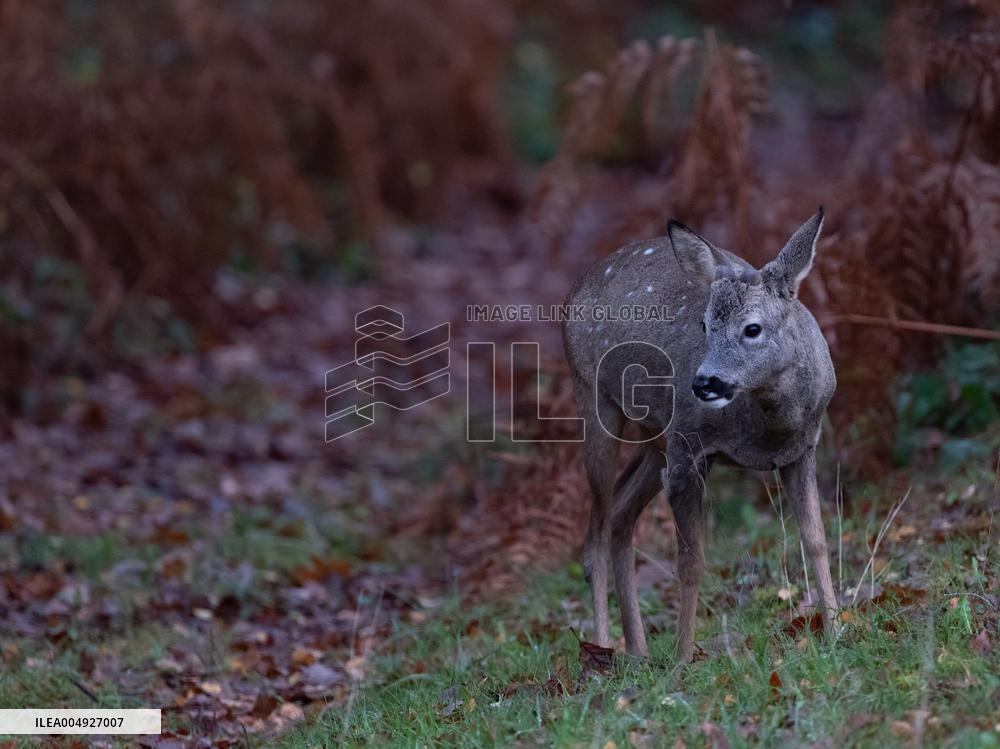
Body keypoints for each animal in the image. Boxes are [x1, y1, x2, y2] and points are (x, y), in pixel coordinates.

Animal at [561, 209, 837, 662]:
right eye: (705, 325)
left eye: (752, 328)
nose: (704, 382)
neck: (769, 429)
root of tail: (572, 292)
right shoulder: (689, 447)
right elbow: (691, 564)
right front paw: (683, 658)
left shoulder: (803, 448)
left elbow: (816, 539)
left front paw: (836, 632)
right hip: (594, 399)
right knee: (595, 535)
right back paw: (601, 650)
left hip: (656, 436)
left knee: (620, 513)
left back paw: (637, 651)